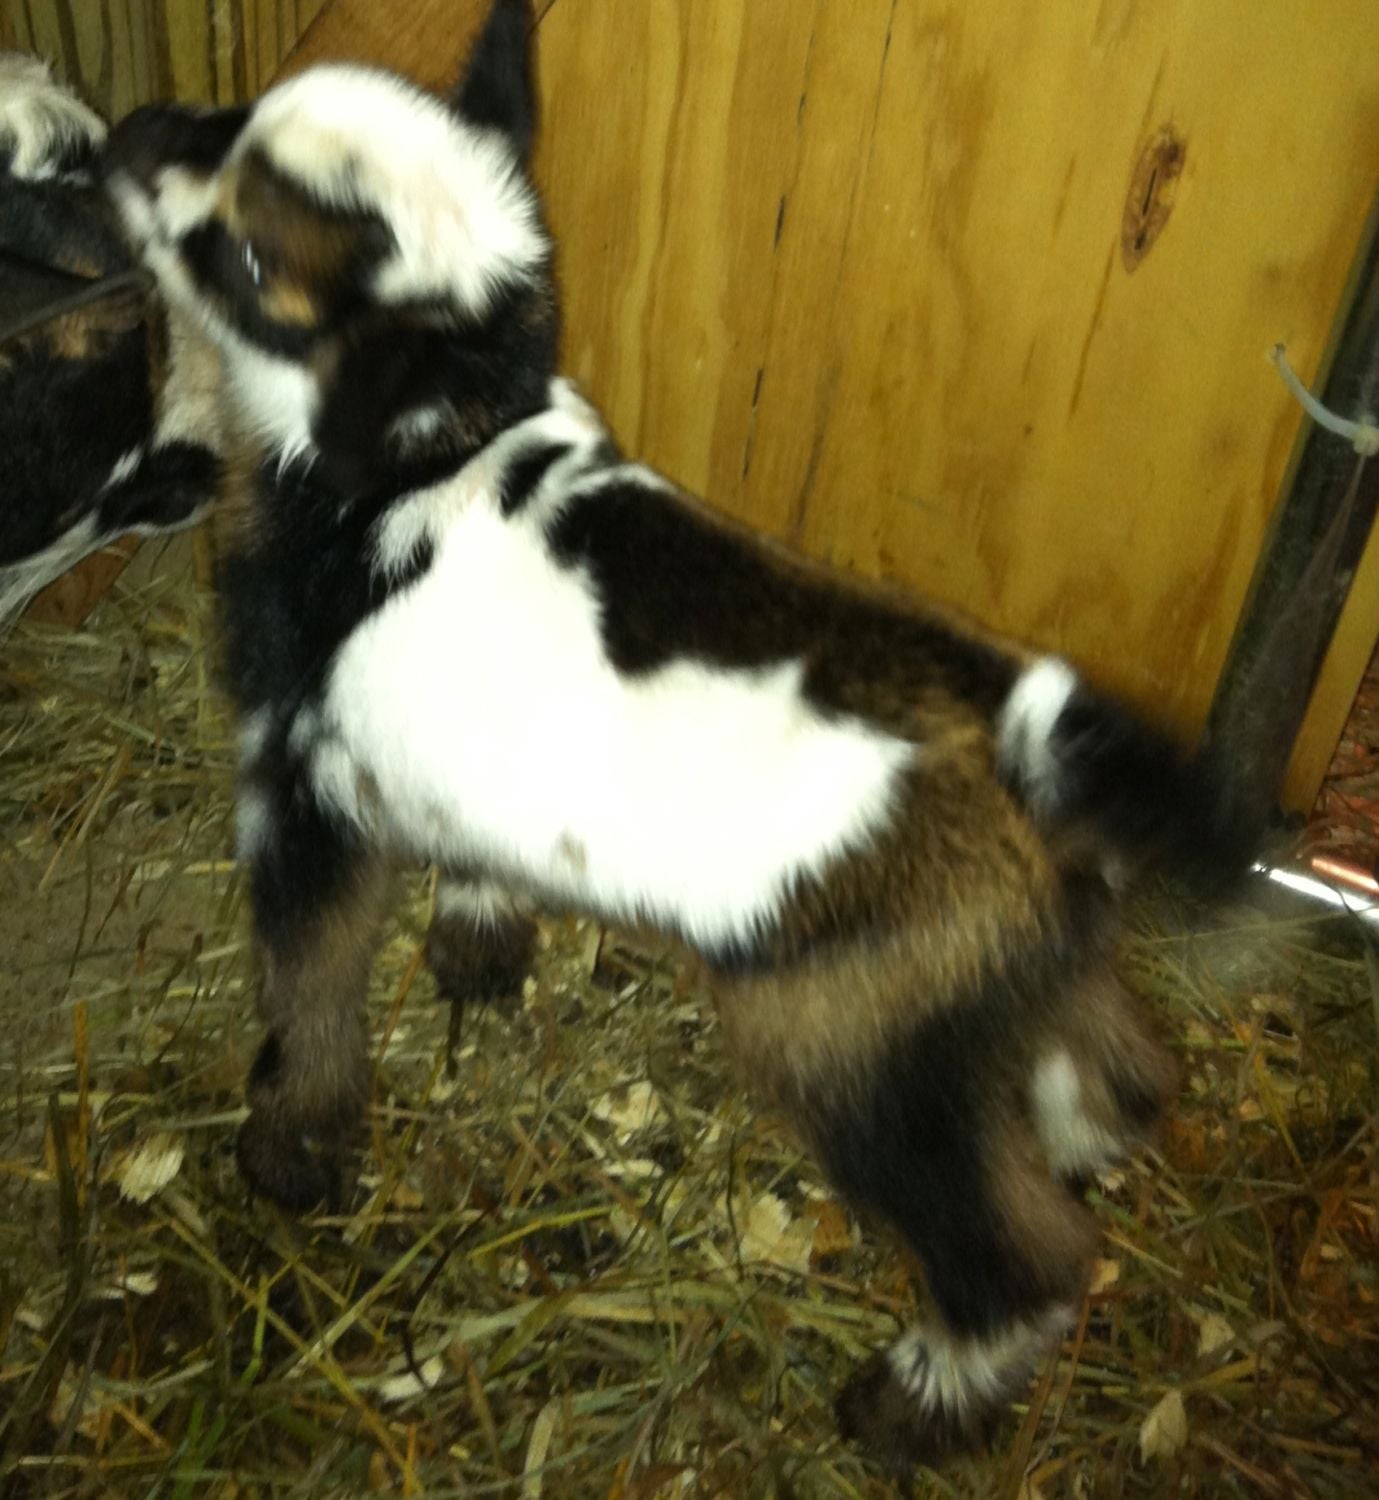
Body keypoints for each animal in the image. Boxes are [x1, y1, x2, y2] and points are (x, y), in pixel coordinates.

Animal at [102, 0, 1251, 1468]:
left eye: (249, 255)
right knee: (1110, 1066)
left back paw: (910, 1403)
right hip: (993, 974)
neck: (418, 462)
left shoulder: (296, 775)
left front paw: (289, 1152)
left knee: (1020, 1256)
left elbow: (307, 973)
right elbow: (474, 851)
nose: (132, 136)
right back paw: (1085, 1137)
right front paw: (478, 946)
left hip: (854, 1042)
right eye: (237, 114)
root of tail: (1028, 749)